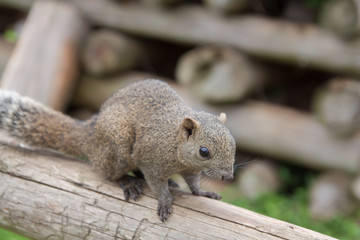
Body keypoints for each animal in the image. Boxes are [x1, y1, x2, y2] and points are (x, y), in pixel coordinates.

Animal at [0, 79, 236, 221]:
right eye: (204, 151)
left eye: (233, 144)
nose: (228, 177)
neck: (174, 143)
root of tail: (91, 135)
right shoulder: (151, 161)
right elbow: (156, 183)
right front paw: (164, 199)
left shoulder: (190, 169)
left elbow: (193, 183)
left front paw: (202, 192)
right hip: (118, 147)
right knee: (108, 173)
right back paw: (127, 181)